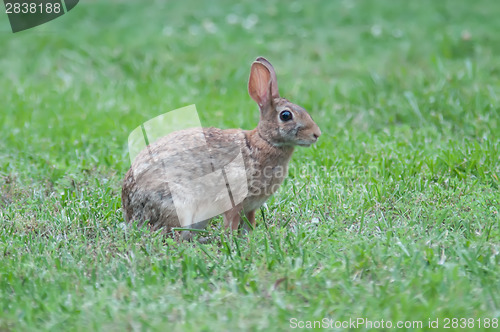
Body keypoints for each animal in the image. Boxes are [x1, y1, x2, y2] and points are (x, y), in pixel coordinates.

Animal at [123, 56, 322, 239]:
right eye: (286, 115)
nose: (317, 134)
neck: (264, 141)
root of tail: (130, 214)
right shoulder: (234, 197)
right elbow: (231, 222)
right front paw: (232, 239)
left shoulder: (250, 207)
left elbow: (249, 223)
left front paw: (248, 238)